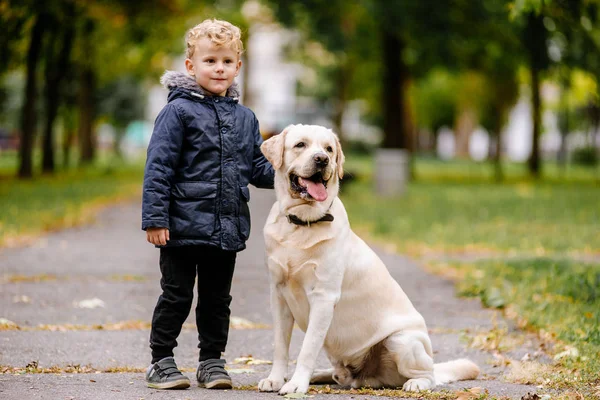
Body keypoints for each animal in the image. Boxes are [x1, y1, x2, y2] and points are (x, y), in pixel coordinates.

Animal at [256, 126, 478, 396]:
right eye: (301, 145)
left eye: (329, 148)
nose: (322, 159)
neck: (301, 224)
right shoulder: (278, 295)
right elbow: (280, 346)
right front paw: (275, 379)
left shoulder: (323, 297)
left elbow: (307, 348)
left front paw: (297, 384)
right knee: (340, 375)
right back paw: (321, 375)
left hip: (402, 340)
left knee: (429, 375)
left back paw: (416, 383)